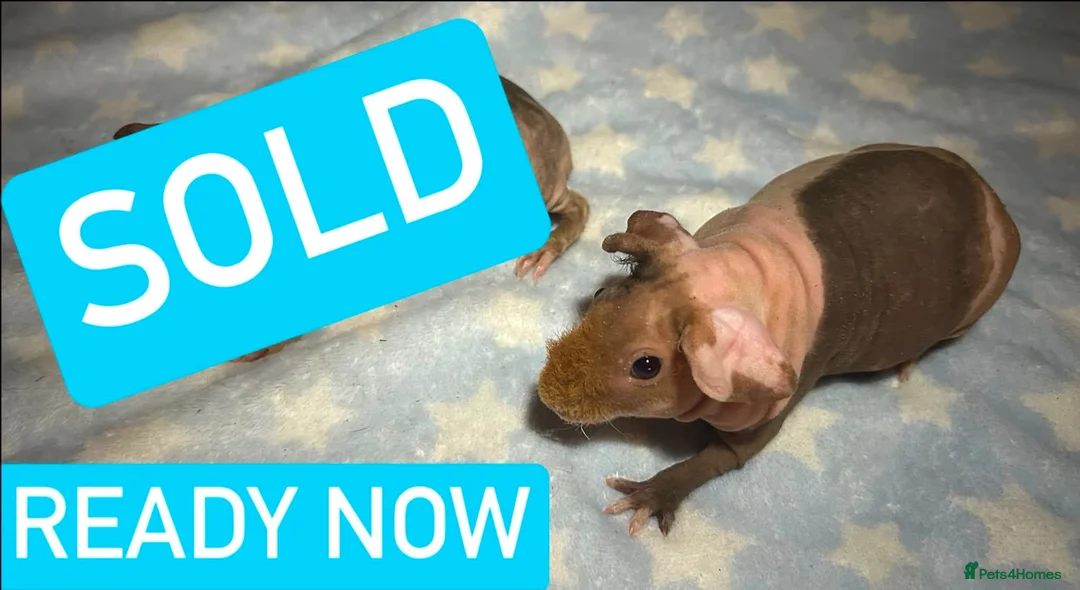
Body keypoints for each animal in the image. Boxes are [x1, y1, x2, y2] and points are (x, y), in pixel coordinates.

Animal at [535, 143, 1022, 537]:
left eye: (647, 366)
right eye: (601, 294)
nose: (547, 395)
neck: (739, 272)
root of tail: (988, 196)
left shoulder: (781, 387)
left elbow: (729, 455)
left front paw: (653, 492)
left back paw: (908, 362)